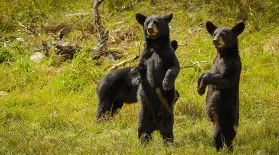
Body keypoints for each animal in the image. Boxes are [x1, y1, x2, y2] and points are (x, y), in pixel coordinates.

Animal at [135, 13, 182, 145]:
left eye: (156, 22)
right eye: (147, 22)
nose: (150, 29)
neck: (156, 45)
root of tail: (155, 125)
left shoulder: (168, 53)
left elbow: (173, 67)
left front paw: (166, 83)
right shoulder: (145, 55)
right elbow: (140, 67)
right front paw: (136, 78)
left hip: (167, 113)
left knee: (167, 130)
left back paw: (169, 143)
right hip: (144, 113)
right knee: (142, 130)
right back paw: (143, 144)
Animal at [198, 20, 246, 151]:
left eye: (223, 34)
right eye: (214, 33)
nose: (215, 40)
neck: (222, 54)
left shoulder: (231, 65)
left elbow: (224, 79)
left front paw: (202, 85)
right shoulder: (214, 61)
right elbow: (205, 72)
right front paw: (199, 88)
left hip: (224, 119)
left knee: (220, 136)